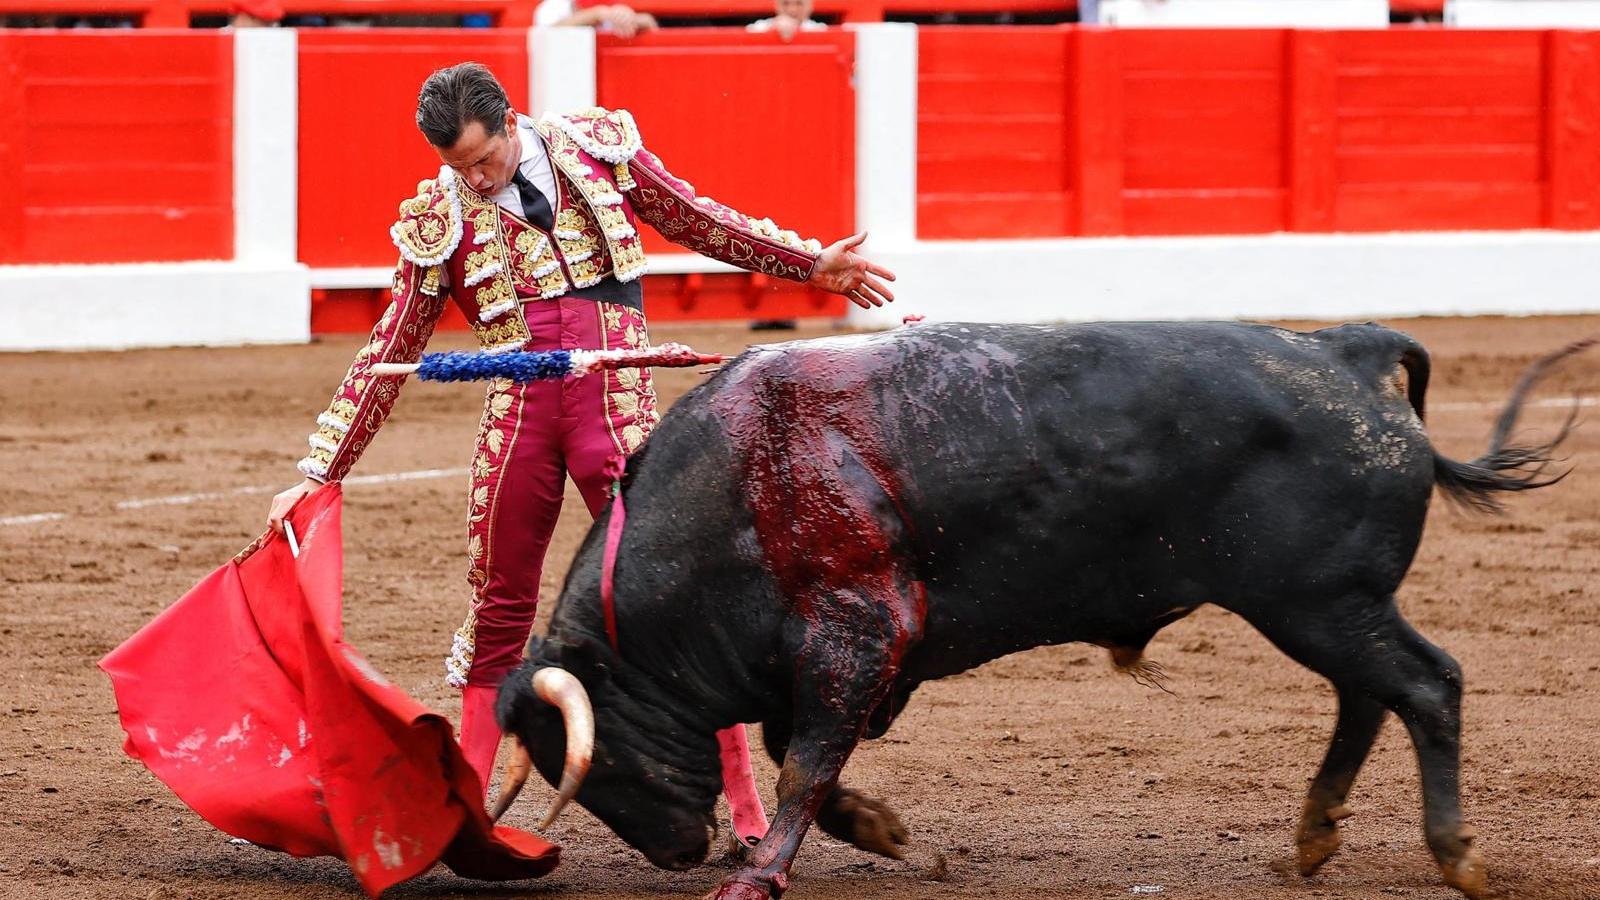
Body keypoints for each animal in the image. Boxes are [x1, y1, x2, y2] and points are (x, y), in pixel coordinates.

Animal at [499, 321, 1587, 896]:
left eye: (596, 764)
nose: (679, 853)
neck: (728, 493)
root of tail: (1344, 352)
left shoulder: (856, 632)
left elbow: (804, 758)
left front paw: (756, 874)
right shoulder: (831, 652)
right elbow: (799, 752)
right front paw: (882, 830)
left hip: (1323, 601)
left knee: (1425, 685)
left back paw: (1455, 854)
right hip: (1323, 606)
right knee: (1369, 695)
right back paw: (1316, 834)